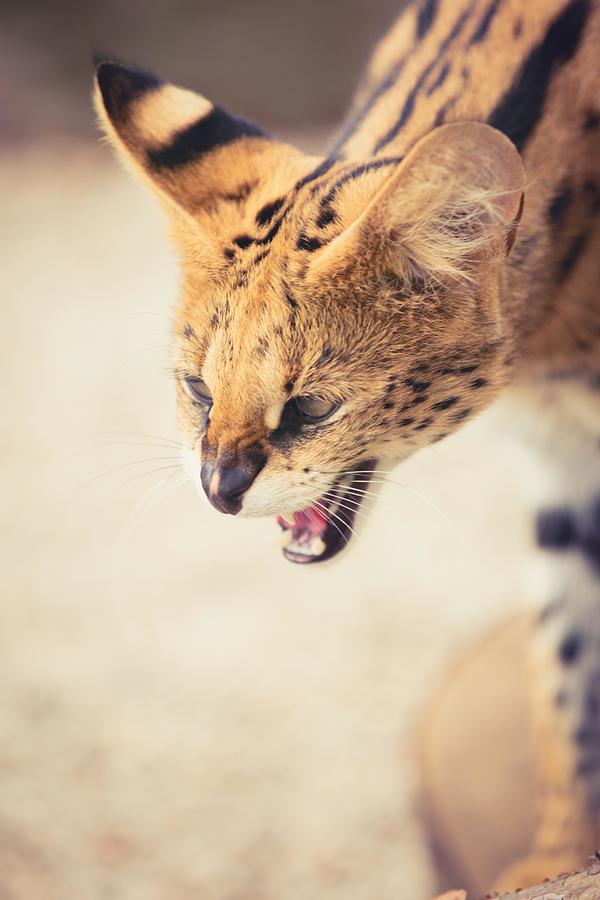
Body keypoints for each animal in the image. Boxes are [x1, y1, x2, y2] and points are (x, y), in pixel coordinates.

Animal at [95, 0, 600, 888]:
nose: (218, 486)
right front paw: (564, 854)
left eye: (310, 408)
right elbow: (566, 666)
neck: (552, 344)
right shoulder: (560, 461)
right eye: (198, 390)